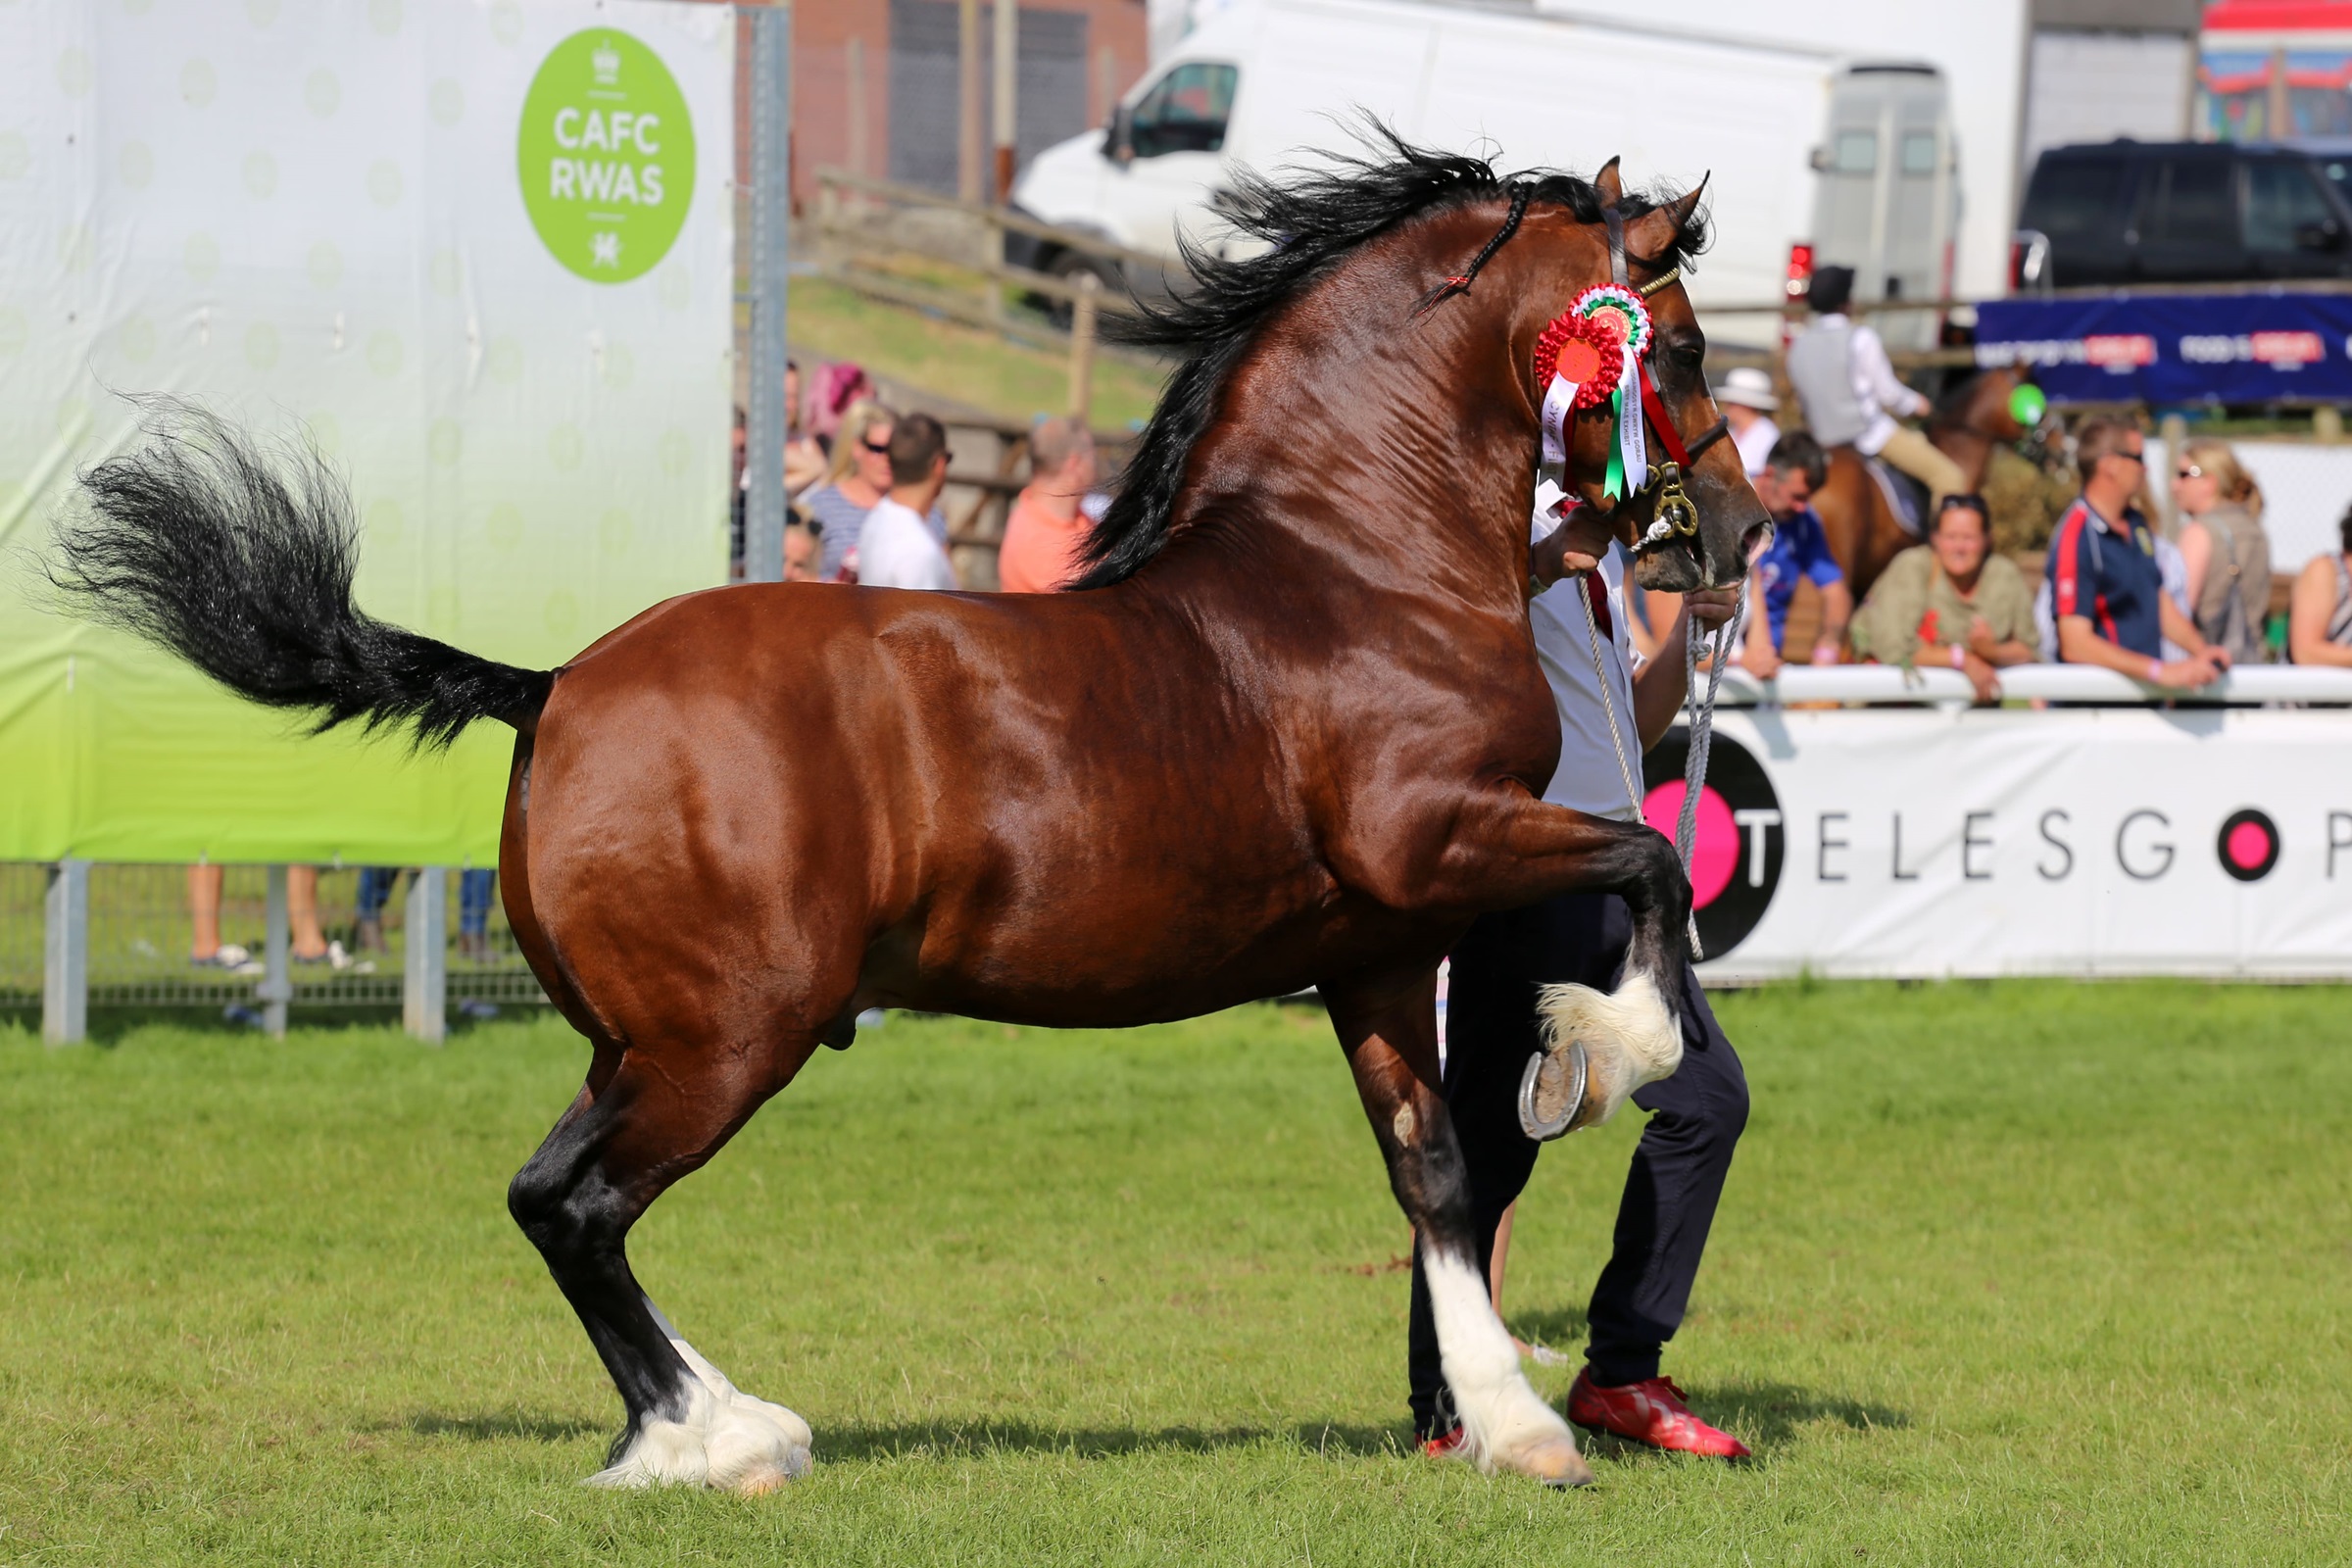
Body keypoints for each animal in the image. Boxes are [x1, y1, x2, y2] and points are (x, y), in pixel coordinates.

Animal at [55, 143, 1768, 1494]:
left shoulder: (1378, 946)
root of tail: (552, 688)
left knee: (557, 1201)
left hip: (642, 1039)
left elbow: (1437, 1177)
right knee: (580, 1206)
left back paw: (706, 1424)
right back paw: (728, 1443)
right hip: (729, 1038)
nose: (1742, 533)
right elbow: (1651, 864)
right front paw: (1601, 1046)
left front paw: (1513, 1426)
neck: (1351, 566)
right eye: (1679, 345)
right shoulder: (1440, 843)